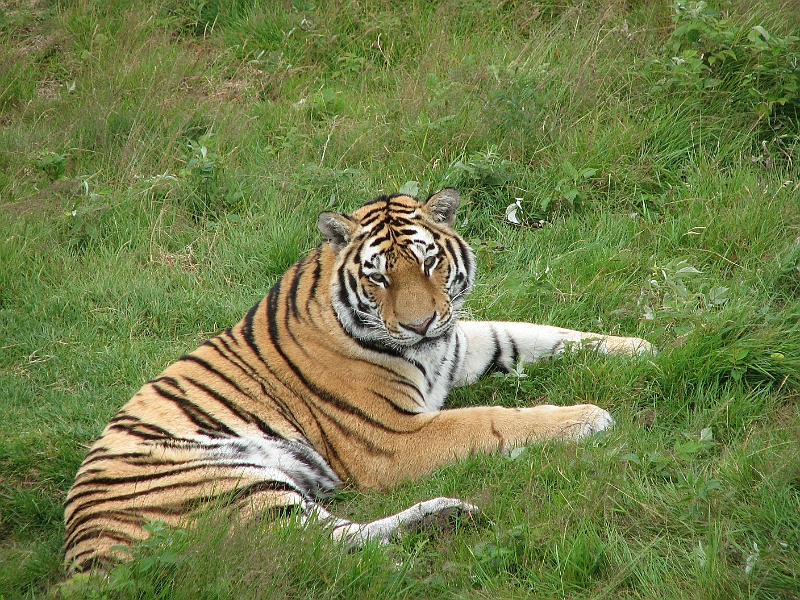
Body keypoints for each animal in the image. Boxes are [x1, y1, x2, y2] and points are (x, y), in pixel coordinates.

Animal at [63, 188, 652, 574]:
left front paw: (641, 350)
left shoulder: (463, 343)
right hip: (227, 487)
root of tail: (81, 558)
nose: (419, 324)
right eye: (379, 277)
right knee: (317, 549)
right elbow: (489, 422)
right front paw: (589, 415)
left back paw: (446, 518)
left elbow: (540, 333)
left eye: (430, 262)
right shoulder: (394, 436)